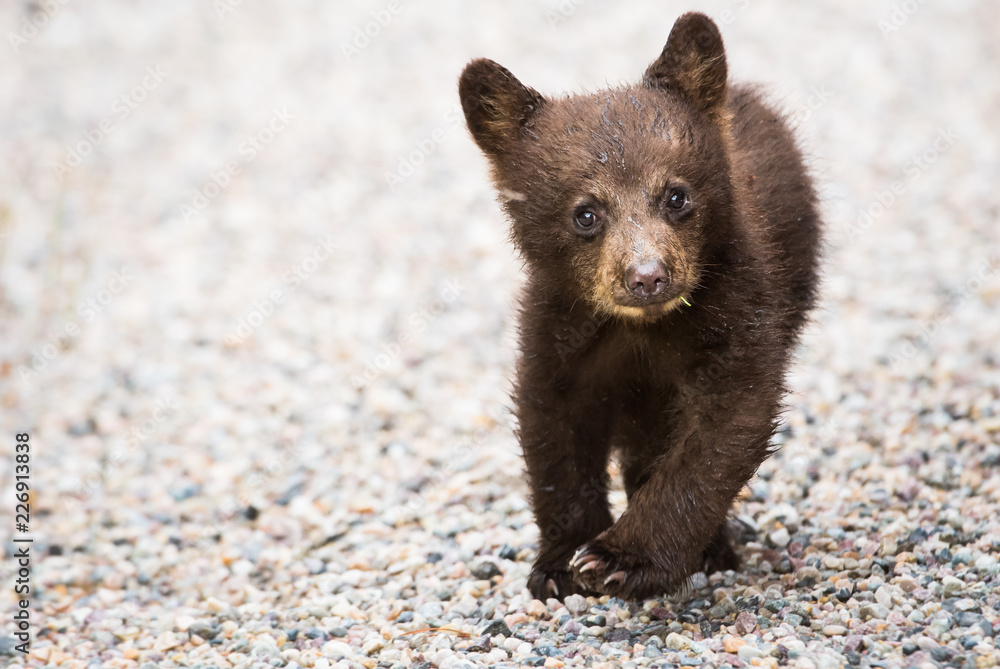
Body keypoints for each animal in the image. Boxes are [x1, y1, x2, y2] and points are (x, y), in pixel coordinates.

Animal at [458, 11, 821, 601]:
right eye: (585, 213)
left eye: (676, 195)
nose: (647, 277)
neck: (641, 328)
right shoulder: (558, 326)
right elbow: (553, 429)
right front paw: (559, 564)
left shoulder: (739, 307)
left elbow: (723, 427)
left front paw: (622, 558)